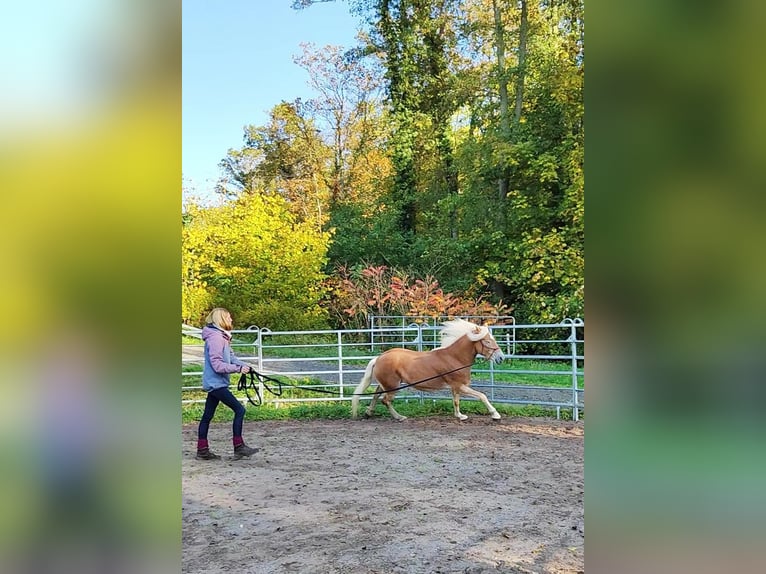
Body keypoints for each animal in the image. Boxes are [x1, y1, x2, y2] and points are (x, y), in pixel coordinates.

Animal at [352, 320, 508, 424]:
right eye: (487, 342)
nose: (501, 358)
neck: (455, 358)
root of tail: (379, 358)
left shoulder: (455, 387)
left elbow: (456, 401)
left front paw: (460, 416)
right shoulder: (460, 386)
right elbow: (482, 396)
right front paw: (495, 415)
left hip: (386, 384)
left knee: (376, 396)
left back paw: (368, 413)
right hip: (393, 386)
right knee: (385, 401)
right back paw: (399, 417)